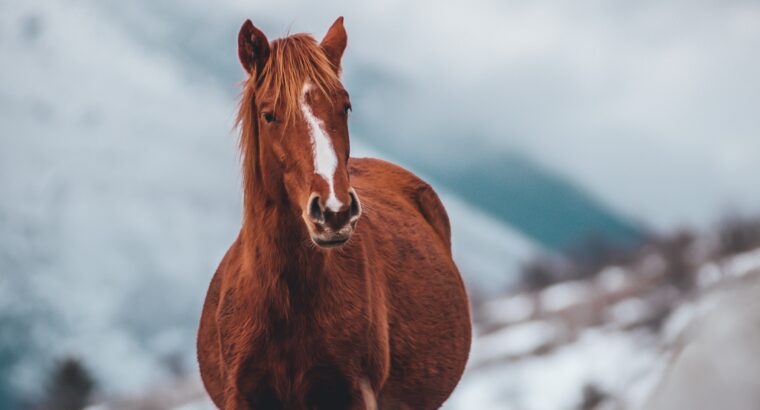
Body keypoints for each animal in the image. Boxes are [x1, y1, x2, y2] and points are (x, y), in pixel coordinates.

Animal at [196, 16, 470, 410]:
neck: (287, 302)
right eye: (268, 114)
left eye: (346, 106)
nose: (333, 211)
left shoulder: (354, 392)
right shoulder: (242, 395)